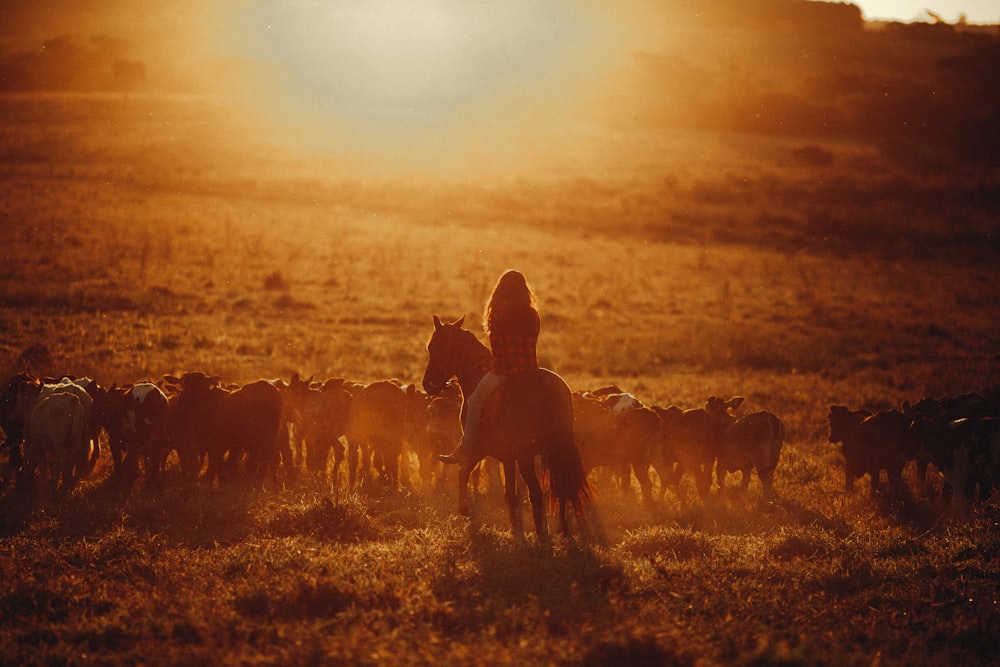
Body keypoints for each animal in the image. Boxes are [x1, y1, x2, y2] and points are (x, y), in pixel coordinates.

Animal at [420, 316, 588, 540]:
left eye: (433, 346)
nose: (428, 384)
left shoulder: (483, 449)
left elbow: (465, 473)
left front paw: (465, 510)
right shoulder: (508, 456)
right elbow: (509, 491)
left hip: (526, 456)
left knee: (536, 492)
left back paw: (542, 534)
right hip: (551, 454)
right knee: (559, 489)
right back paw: (562, 531)